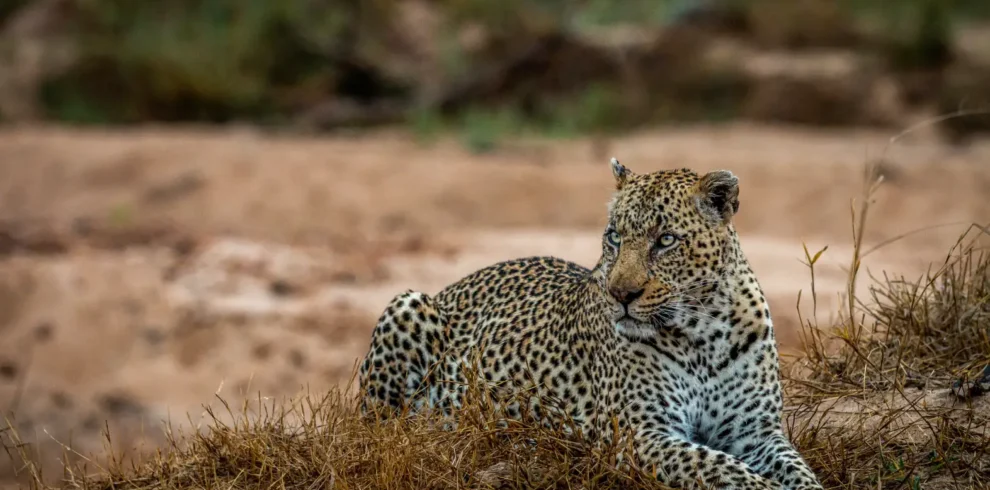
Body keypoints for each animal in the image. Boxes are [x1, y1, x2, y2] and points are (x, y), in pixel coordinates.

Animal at [358, 158, 822, 490]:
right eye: (615, 236)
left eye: (665, 240)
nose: (620, 294)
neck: (704, 333)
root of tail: (458, 282)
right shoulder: (639, 433)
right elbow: (721, 468)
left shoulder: (756, 432)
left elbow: (798, 471)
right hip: (407, 305)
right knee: (380, 427)